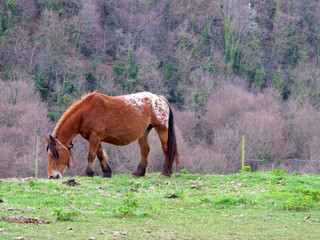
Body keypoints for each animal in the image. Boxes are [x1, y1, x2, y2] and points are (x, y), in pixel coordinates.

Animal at [46, 91, 179, 178]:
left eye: (54, 155)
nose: (52, 176)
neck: (86, 112)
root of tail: (159, 98)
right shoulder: (94, 138)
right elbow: (100, 155)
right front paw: (106, 172)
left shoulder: (95, 136)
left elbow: (91, 155)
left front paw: (88, 173)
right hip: (144, 133)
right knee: (145, 151)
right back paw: (139, 173)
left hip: (162, 129)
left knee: (166, 149)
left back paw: (166, 172)